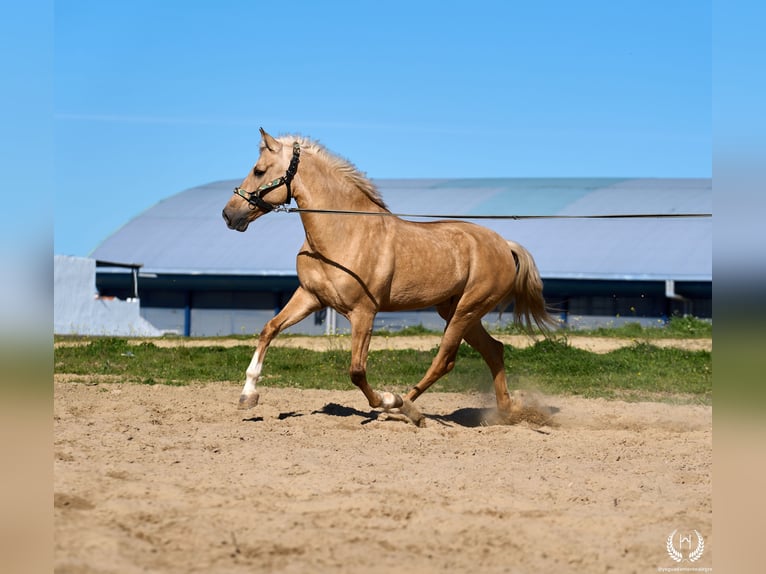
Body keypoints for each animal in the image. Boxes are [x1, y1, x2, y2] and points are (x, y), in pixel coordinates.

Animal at [222, 128, 555, 426]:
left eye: (258, 170)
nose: (229, 214)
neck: (344, 234)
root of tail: (504, 245)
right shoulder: (310, 297)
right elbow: (269, 329)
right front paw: (247, 396)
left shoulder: (364, 312)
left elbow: (357, 371)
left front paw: (386, 399)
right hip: (455, 310)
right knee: (494, 350)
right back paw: (504, 412)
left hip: (466, 310)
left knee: (444, 361)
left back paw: (403, 406)